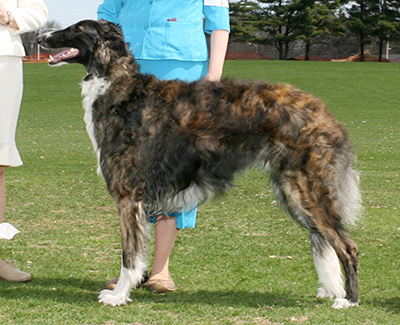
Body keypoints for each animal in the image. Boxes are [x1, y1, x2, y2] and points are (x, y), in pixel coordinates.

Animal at [38, 19, 362, 308]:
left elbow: (129, 255)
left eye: (78, 28)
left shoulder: (128, 195)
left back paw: (348, 299)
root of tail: (323, 112)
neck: (119, 88)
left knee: (348, 247)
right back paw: (331, 290)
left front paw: (118, 296)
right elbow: (138, 252)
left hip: (305, 190)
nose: (41, 37)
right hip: (294, 191)